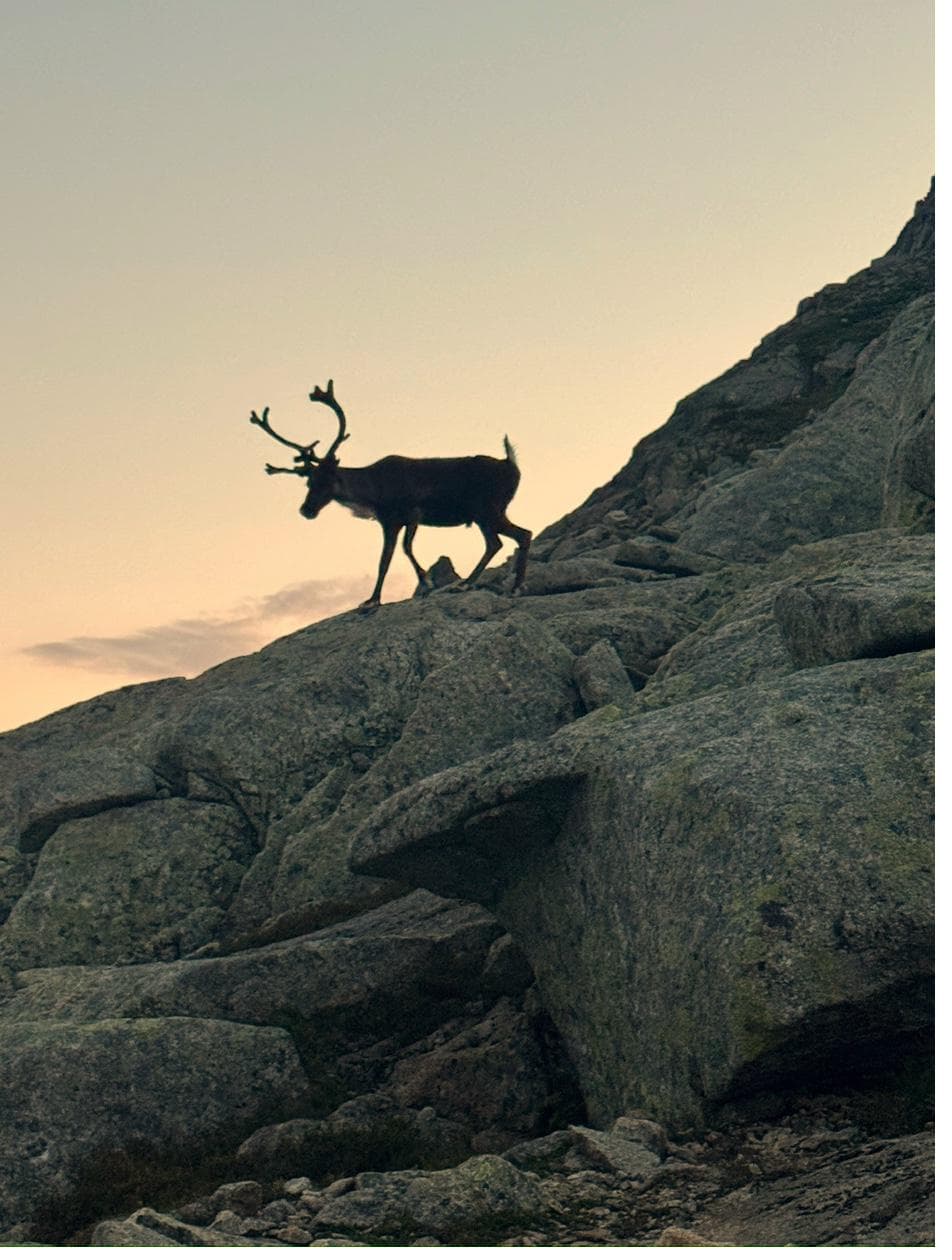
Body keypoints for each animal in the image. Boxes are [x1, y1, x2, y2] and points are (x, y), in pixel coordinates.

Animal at [249, 380, 532, 610]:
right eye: (308, 481)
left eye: (328, 479)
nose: (306, 510)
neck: (373, 491)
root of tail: (511, 464)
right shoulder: (389, 522)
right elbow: (384, 560)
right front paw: (373, 599)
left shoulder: (410, 514)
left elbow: (402, 551)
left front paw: (425, 582)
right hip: (486, 514)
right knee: (502, 540)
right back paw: (487, 585)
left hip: (488, 510)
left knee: (515, 536)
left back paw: (499, 586)